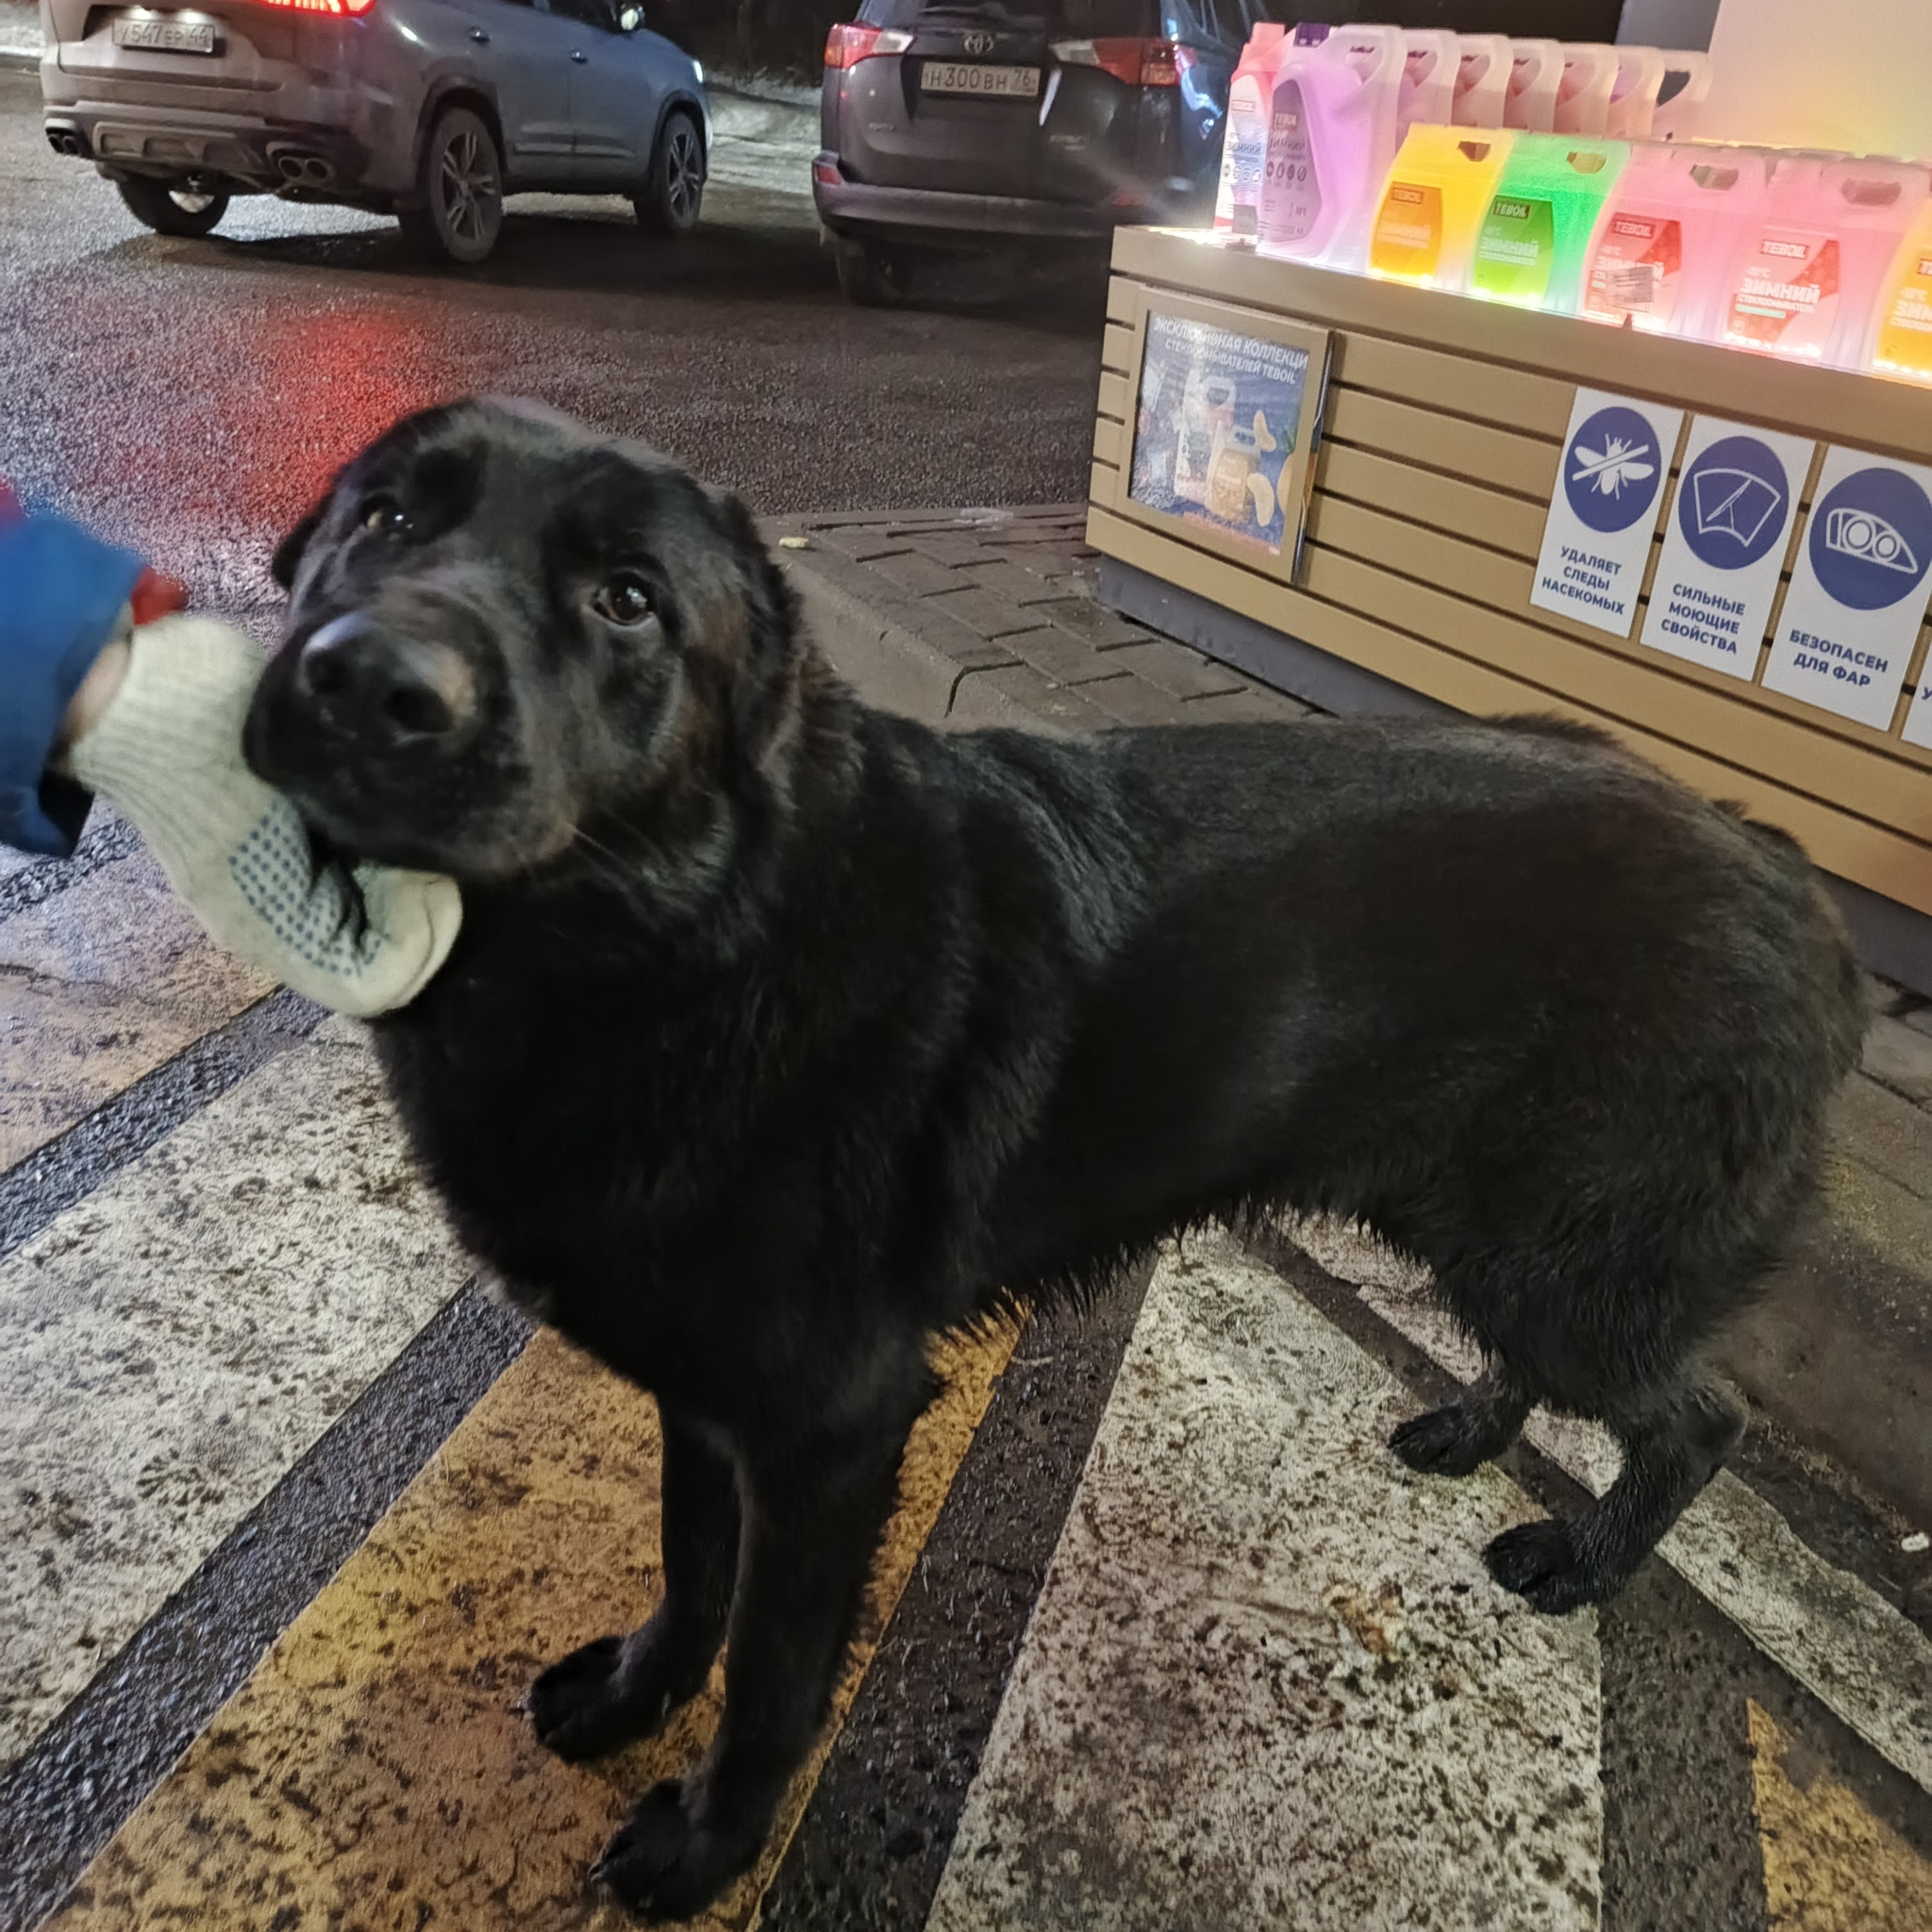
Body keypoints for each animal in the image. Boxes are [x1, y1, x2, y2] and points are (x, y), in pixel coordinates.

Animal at [245, 395, 1870, 1916]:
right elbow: (692, 1578)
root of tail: (1787, 873)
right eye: (386, 515)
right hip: (1486, 1235)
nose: (366, 682)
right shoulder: (706, 1401)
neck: (693, 948)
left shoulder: (827, 1436)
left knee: (1699, 1418)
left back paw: (1587, 1561)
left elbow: (769, 1678)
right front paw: (641, 1696)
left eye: (627, 599)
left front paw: (710, 1848)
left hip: (1565, 1264)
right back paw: (1472, 1430)